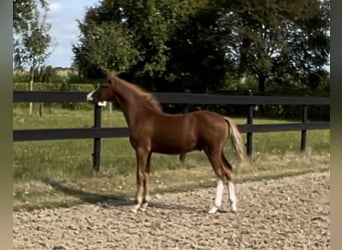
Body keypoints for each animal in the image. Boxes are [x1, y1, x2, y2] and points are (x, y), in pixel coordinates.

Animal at [87, 72, 244, 213]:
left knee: (220, 174)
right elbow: (146, 174)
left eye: (103, 85)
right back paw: (233, 206)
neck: (142, 117)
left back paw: (214, 207)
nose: (89, 97)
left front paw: (136, 205)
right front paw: (145, 204)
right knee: (229, 170)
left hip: (212, 151)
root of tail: (223, 118)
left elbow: (139, 174)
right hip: (218, 151)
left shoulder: (141, 150)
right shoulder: (149, 152)